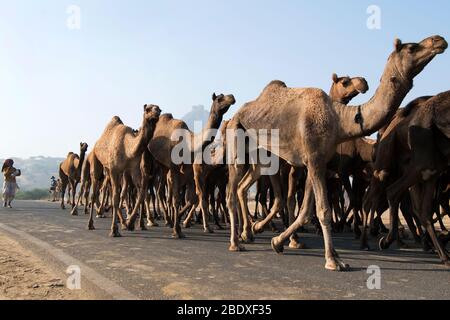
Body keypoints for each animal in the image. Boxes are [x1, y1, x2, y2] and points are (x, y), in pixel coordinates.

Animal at [86, 104, 162, 236]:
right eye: (148, 109)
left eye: (159, 108)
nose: (157, 112)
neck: (127, 148)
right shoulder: (114, 169)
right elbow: (116, 197)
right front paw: (114, 230)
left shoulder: (133, 168)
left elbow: (141, 193)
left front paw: (130, 223)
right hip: (97, 161)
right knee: (96, 190)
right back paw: (91, 224)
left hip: (111, 170)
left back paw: (122, 222)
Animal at [149, 92, 237, 238]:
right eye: (219, 98)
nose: (232, 97)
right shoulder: (184, 170)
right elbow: (182, 199)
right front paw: (179, 229)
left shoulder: (191, 174)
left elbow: (192, 198)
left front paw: (181, 223)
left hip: (164, 168)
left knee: (161, 191)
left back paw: (168, 220)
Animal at [227, 35, 448, 270]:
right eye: (412, 47)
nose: (439, 40)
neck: (339, 120)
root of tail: (238, 112)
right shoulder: (314, 160)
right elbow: (322, 209)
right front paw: (333, 260)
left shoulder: (317, 161)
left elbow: (307, 210)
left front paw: (278, 242)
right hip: (237, 137)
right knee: (232, 190)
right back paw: (236, 242)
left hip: (261, 157)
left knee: (243, 187)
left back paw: (249, 231)